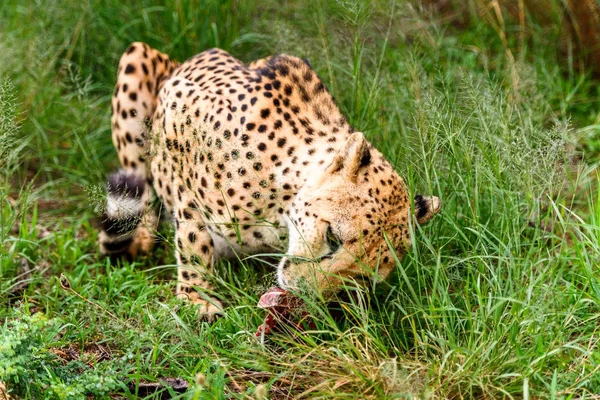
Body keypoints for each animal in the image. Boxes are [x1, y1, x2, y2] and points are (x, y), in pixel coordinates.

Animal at [98, 43, 440, 318]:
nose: (305, 293)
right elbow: (193, 230)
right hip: (137, 57)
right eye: (332, 237)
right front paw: (196, 296)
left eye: (361, 276)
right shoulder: (176, 109)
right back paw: (142, 235)